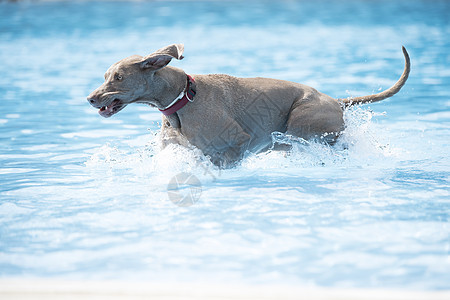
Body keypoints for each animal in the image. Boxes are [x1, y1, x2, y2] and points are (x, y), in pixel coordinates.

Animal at [88, 43, 412, 168]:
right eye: (105, 76)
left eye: (118, 77)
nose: (90, 98)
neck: (182, 98)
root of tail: (337, 101)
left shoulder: (239, 142)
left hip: (303, 124)